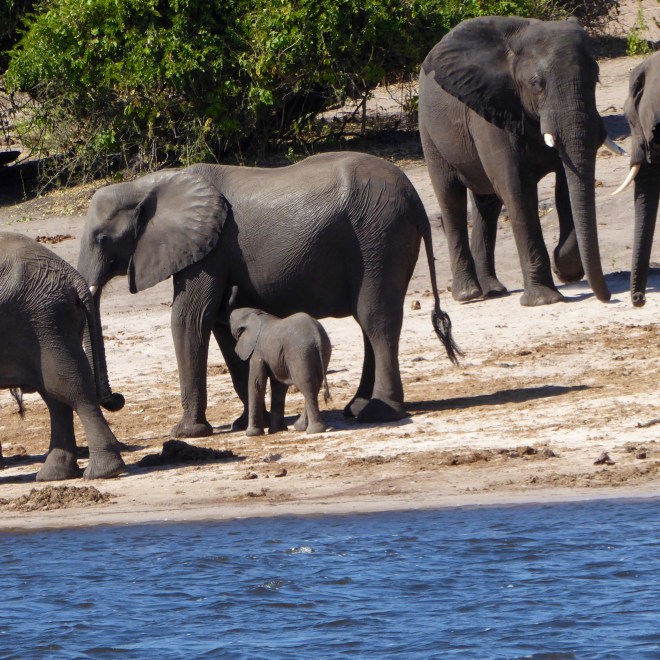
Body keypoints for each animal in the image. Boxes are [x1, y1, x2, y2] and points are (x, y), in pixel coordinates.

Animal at [0, 232, 125, 481]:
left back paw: (103, 472)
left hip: (45, 320)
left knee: (71, 390)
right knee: (56, 398)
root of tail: (73, 277)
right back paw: (56, 474)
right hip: (49, 323)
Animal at [229, 307, 332, 436]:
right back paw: (301, 427)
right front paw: (277, 430)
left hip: (299, 353)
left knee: (306, 385)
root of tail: (316, 335)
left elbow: (257, 383)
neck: (256, 313)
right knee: (315, 384)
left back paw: (313, 431)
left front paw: (252, 434)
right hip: (323, 350)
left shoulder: (257, 351)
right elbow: (279, 386)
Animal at [418, 16, 616, 307]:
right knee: (451, 199)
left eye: (597, 77)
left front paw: (566, 269)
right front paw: (545, 300)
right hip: (429, 131)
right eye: (537, 84)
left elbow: (566, 185)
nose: (608, 297)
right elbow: (517, 189)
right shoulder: (491, 111)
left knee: (487, 204)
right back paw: (468, 294)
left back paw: (493, 290)